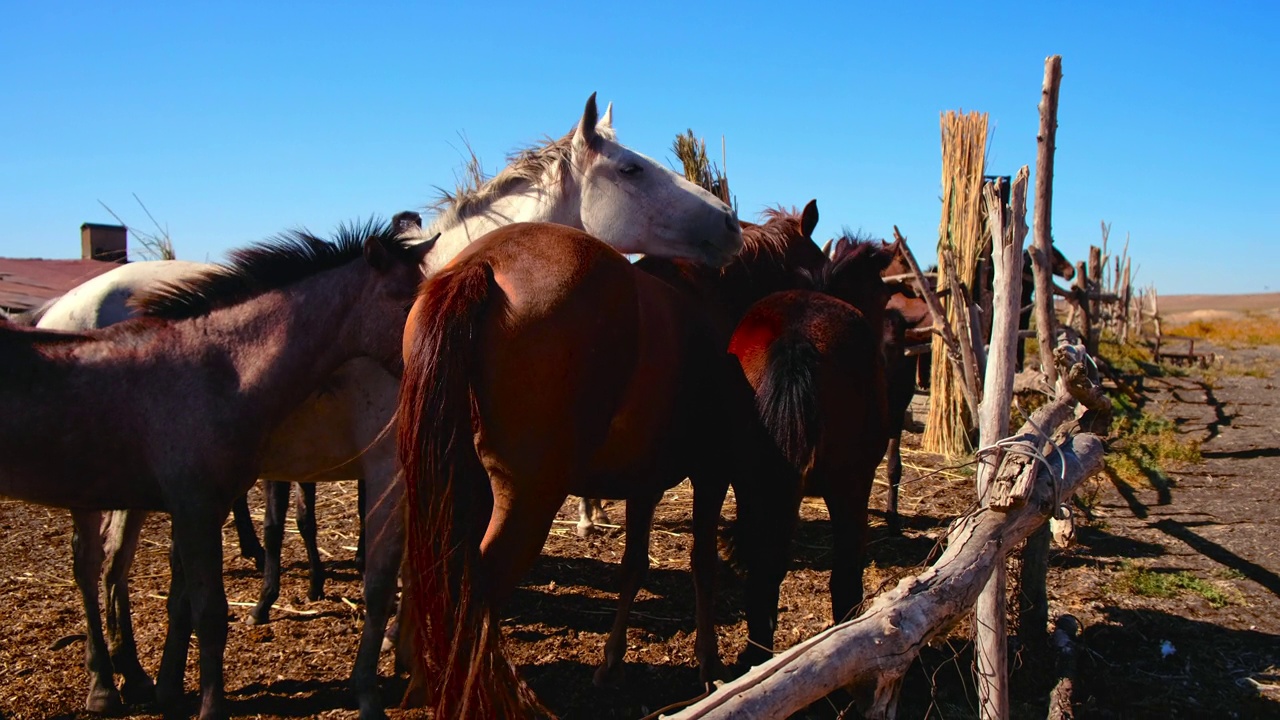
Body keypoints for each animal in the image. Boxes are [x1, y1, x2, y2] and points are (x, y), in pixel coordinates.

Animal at [45, 92, 742, 717]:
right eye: (631, 169)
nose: (731, 223)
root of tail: (61, 311)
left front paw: (410, 657)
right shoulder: (389, 470)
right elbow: (384, 575)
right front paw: (379, 680)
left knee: (124, 571)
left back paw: (144, 677)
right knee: (92, 567)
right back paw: (106, 683)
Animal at [399, 221, 798, 712]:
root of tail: (483, 263)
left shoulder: (646, 484)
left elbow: (634, 565)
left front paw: (611, 663)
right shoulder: (711, 475)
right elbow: (703, 564)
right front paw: (709, 662)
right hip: (527, 501)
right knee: (474, 596)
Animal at [732, 234, 901, 627]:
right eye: (884, 295)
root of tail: (796, 337)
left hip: (752, 483)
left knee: (764, 575)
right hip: (849, 484)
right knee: (845, 577)